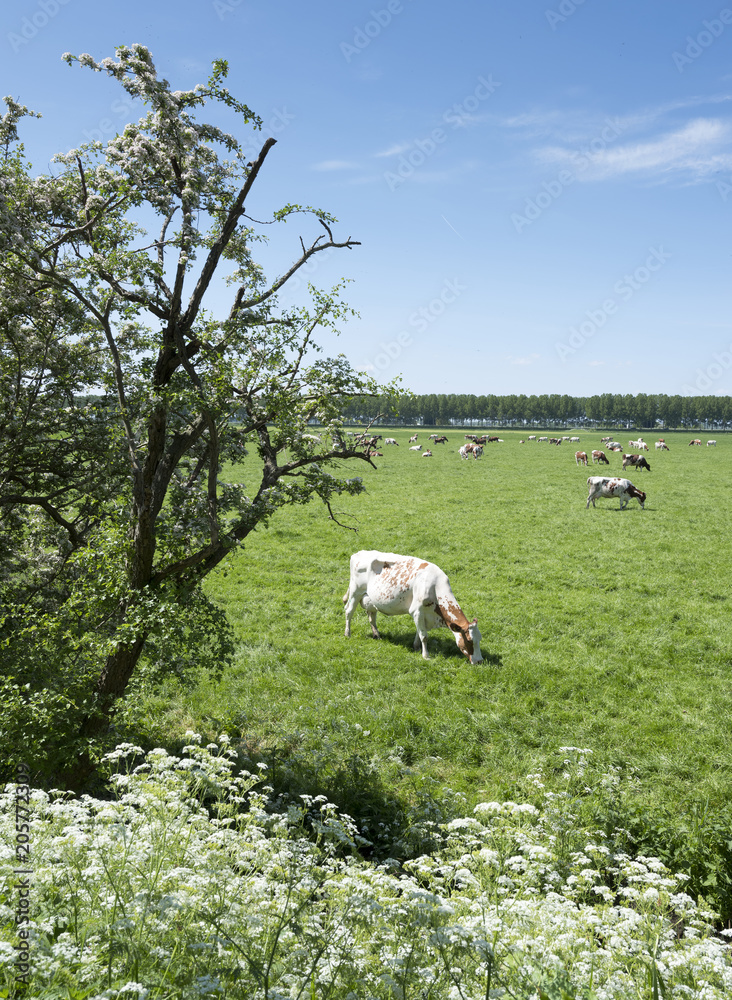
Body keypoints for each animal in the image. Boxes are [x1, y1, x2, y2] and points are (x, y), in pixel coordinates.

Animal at [346, 548, 484, 664]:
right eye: (469, 640)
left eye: (480, 639)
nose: (479, 661)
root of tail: (358, 553)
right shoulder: (417, 611)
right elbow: (424, 636)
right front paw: (426, 656)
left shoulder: (424, 615)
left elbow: (419, 631)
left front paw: (416, 647)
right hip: (355, 591)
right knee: (348, 611)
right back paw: (347, 634)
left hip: (370, 599)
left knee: (371, 616)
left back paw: (377, 635)